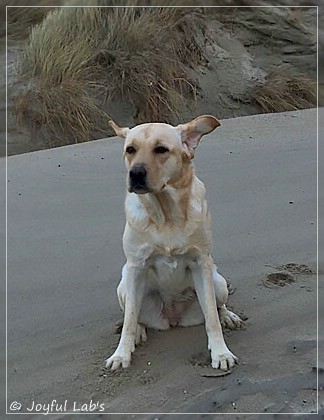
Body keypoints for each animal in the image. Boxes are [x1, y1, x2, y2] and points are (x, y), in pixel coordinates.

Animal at [105, 115, 242, 370]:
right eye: (130, 150)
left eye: (161, 149)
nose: (135, 173)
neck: (166, 215)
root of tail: (173, 317)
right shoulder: (136, 267)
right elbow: (129, 320)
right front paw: (121, 355)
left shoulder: (201, 263)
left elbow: (211, 317)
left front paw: (221, 353)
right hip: (124, 287)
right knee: (134, 315)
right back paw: (139, 331)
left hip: (218, 283)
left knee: (217, 306)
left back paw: (228, 316)